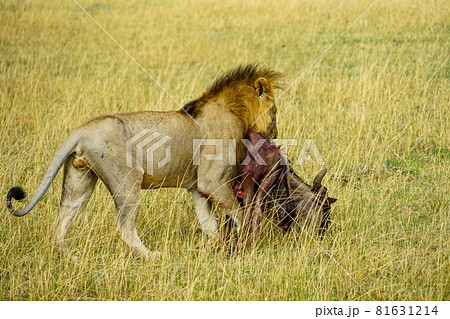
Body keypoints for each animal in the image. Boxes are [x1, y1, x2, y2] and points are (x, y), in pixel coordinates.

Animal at [5, 64, 282, 260]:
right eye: (275, 112)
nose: (276, 134)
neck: (236, 113)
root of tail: (80, 131)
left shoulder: (197, 187)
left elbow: (210, 226)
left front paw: (213, 251)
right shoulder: (212, 181)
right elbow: (241, 214)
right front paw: (249, 243)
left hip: (79, 180)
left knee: (61, 223)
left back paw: (70, 259)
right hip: (128, 180)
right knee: (125, 229)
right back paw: (155, 257)